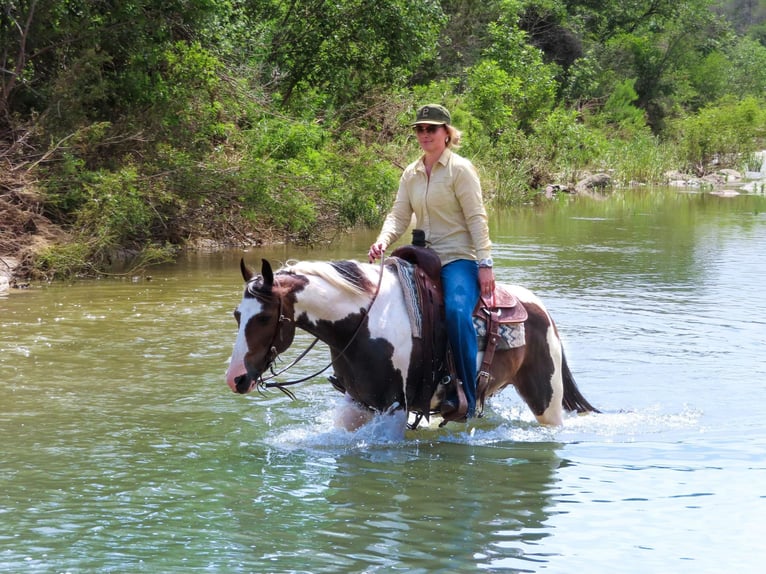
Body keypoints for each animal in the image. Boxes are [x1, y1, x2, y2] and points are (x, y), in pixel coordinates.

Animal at [225, 257, 599, 429]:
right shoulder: (359, 403)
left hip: (545, 398)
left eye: (263, 318)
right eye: (236, 314)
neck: (362, 325)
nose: (236, 378)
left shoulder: (394, 406)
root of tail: (542, 310)